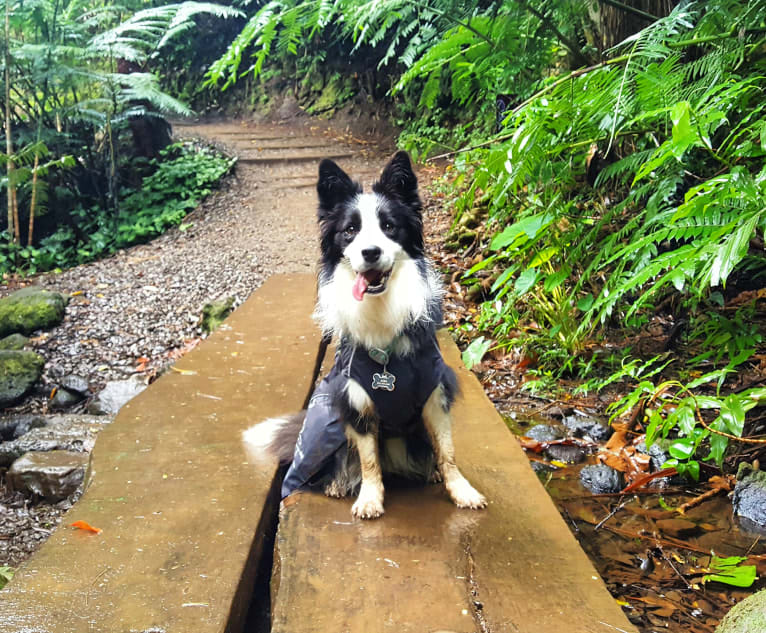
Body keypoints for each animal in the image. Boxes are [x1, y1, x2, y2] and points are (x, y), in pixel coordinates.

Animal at [243, 151, 488, 516]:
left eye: (389, 226)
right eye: (350, 231)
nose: (370, 252)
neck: (381, 307)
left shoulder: (434, 395)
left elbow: (447, 451)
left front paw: (461, 491)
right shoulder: (356, 401)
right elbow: (369, 460)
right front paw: (370, 498)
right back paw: (336, 483)